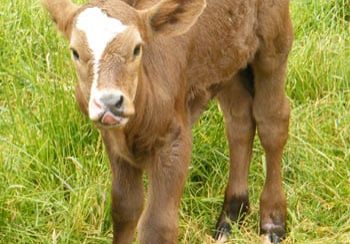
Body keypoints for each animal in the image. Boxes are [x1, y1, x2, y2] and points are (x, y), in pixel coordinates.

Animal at [44, 0, 292, 242]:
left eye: (137, 48)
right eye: (75, 52)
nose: (110, 102)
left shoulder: (174, 141)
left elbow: (157, 225)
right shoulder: (115, 146)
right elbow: (124, 208)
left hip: (274, 40)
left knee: (272, 121)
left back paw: (272, 223)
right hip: (227, 60)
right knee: (239, 121)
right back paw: (230, 216)